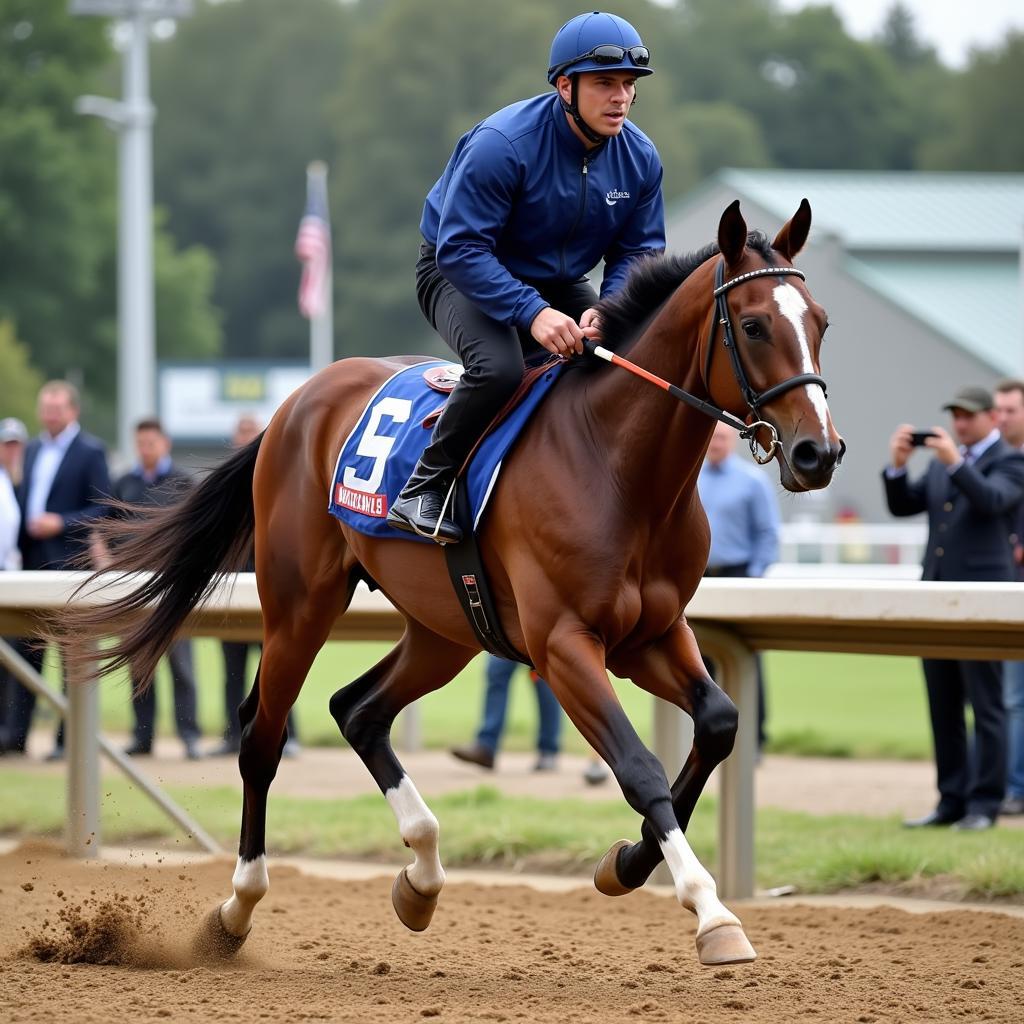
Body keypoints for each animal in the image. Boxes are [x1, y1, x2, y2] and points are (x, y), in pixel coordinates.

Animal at [66, 199, 847, 966]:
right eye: (754, 324)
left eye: (820, 321)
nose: (819, 452)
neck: (619, 468)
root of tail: (295, 403)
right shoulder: (564, 646)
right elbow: (640, 766)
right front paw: (712, 912)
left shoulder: (650, 633)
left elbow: (717, 723)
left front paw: (625, 864)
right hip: (299, 605)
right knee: (261, 734)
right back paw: (236, 909)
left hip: (449, 628)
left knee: (357, 709)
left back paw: (421, 876)